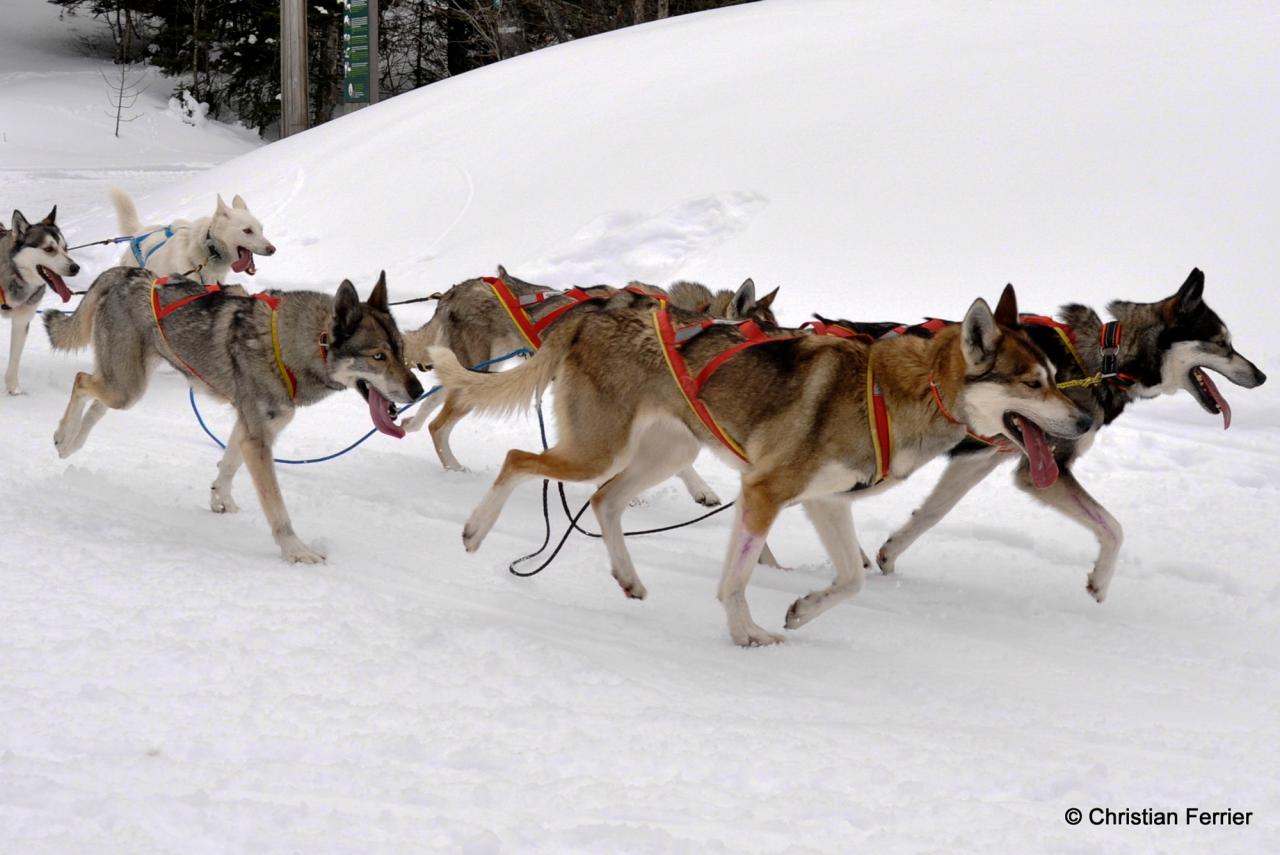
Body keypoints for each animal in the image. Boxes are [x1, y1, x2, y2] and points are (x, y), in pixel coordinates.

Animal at [0, 208, 79, 396]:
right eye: (49, 249)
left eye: (66, 248)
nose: (76, 268)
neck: (15, 276)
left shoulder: (22, 321)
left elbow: (15, 357)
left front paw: (13, 388)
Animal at [45, 267, 422, 560]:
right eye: (378, 357)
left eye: (401, 351)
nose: (417, 391)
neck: (290, 346)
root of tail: (129, 273)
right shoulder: (258, 439)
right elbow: (277, 508)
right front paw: (296, 551)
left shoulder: (253, 428)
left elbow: (227, 465)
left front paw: (219, 499)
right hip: (125, 386)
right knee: (81, 381)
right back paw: (63, 437)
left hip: (127, 386)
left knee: (96, 403)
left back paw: (73, 443)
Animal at [432, 284, 1090, 645]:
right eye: (1033, 383)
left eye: (1054, 377)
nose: (1085, 419)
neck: (893, 392)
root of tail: (591, 316)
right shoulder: (765, 492)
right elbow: (736, 580)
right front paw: (745, 633)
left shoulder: (824, 501)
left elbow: (850, 578)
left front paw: (801, 611)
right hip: (598, 448)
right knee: (520, 459)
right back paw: (475, 530)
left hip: (667, 453)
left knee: (604, 499)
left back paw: (629, 577)